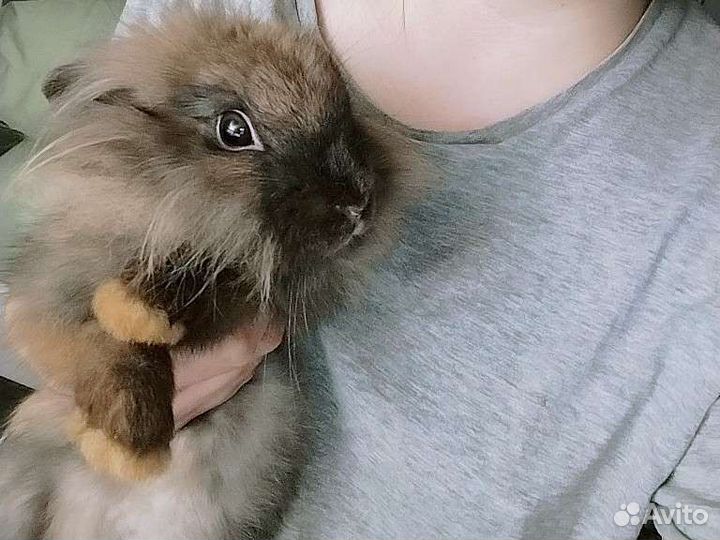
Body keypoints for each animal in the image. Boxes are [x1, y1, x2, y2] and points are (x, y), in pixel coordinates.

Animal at [0, 5, 422, 538]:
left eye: (346, 113)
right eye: (234, 131)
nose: (356, 204)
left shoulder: (252, 301)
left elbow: (217, 290)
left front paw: (138, 308)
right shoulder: (47, 297)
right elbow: (104, 346)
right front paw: (128, 443)